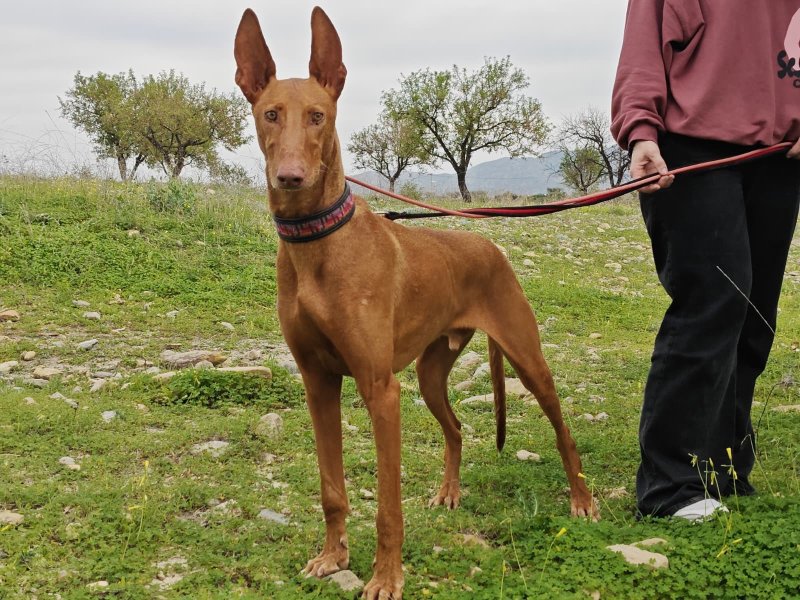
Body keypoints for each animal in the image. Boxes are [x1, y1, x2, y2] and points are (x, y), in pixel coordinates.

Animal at [234, 7, 598, 598]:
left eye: (317, 116)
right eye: (270, 114)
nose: (290, 177)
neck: (316, 242)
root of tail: (487, 245)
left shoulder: (381, 390)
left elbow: (388, 506)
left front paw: (386, 577)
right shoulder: (318, 383)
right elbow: (331, 488)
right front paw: (333, 556)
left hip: (526, 357)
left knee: (563, 430)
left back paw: (582, 500)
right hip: (431, 373)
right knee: (456, 429)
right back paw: (450, 491)